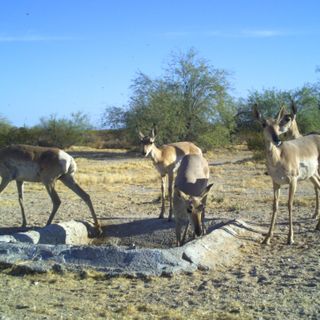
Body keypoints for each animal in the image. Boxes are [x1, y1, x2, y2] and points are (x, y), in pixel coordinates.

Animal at [254, 106, 320, 244]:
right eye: (263, 124)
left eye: (277, 123)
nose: (277, 140)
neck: (279, 157)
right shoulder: (276, 183)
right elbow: (275, 206)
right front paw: (267, 238)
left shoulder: (293, 181)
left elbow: (289, 205)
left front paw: (290, 238)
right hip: (312, 175)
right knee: (318, 186)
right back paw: (317, 225)